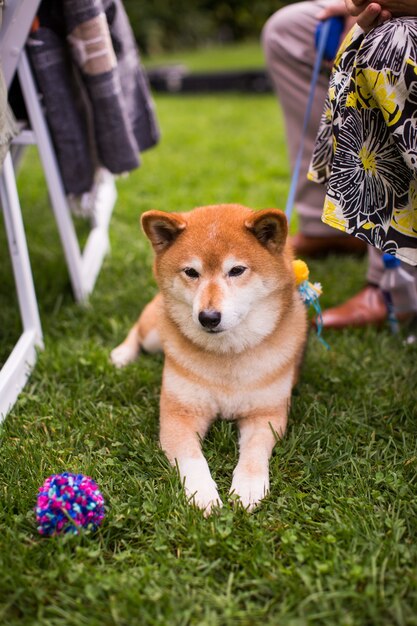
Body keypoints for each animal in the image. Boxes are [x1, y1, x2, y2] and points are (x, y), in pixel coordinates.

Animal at [109, 205, 306, 512]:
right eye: (191, 272)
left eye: (236, 270)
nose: (209, 317)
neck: (226, 357)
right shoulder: (179, 415)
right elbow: (192, 460)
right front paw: (202, 494)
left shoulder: (266, 415)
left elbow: (253, 453)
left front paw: (248, 488)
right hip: (154, 336)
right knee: (139, 328)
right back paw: (122, 354)